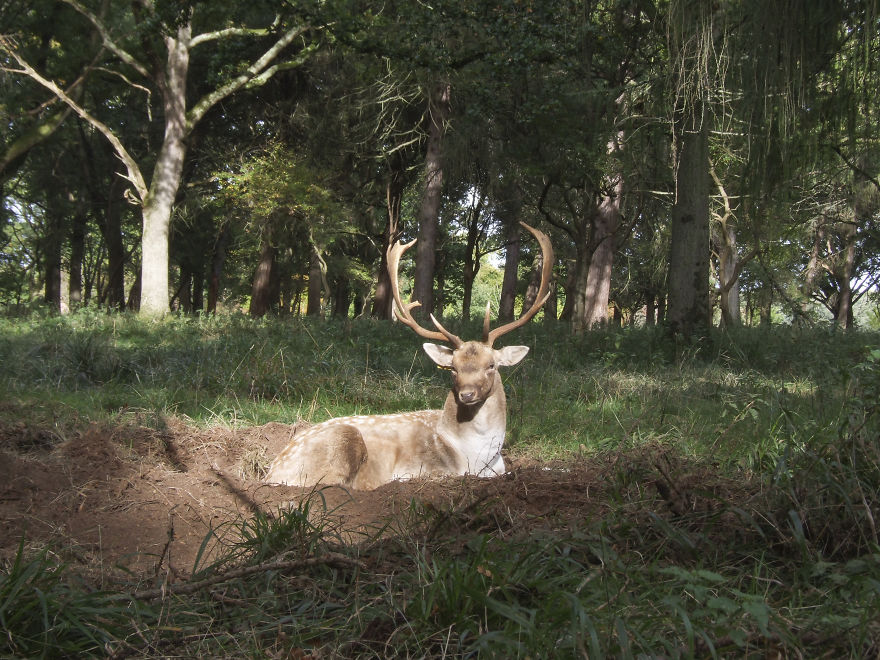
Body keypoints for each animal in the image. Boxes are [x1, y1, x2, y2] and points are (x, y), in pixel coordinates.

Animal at [265, 222, 553, 491]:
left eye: (491, 365)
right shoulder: (418, 470)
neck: (475, 458)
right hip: (339, 443)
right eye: (453, 368)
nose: (467, 393)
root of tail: (269, 474)